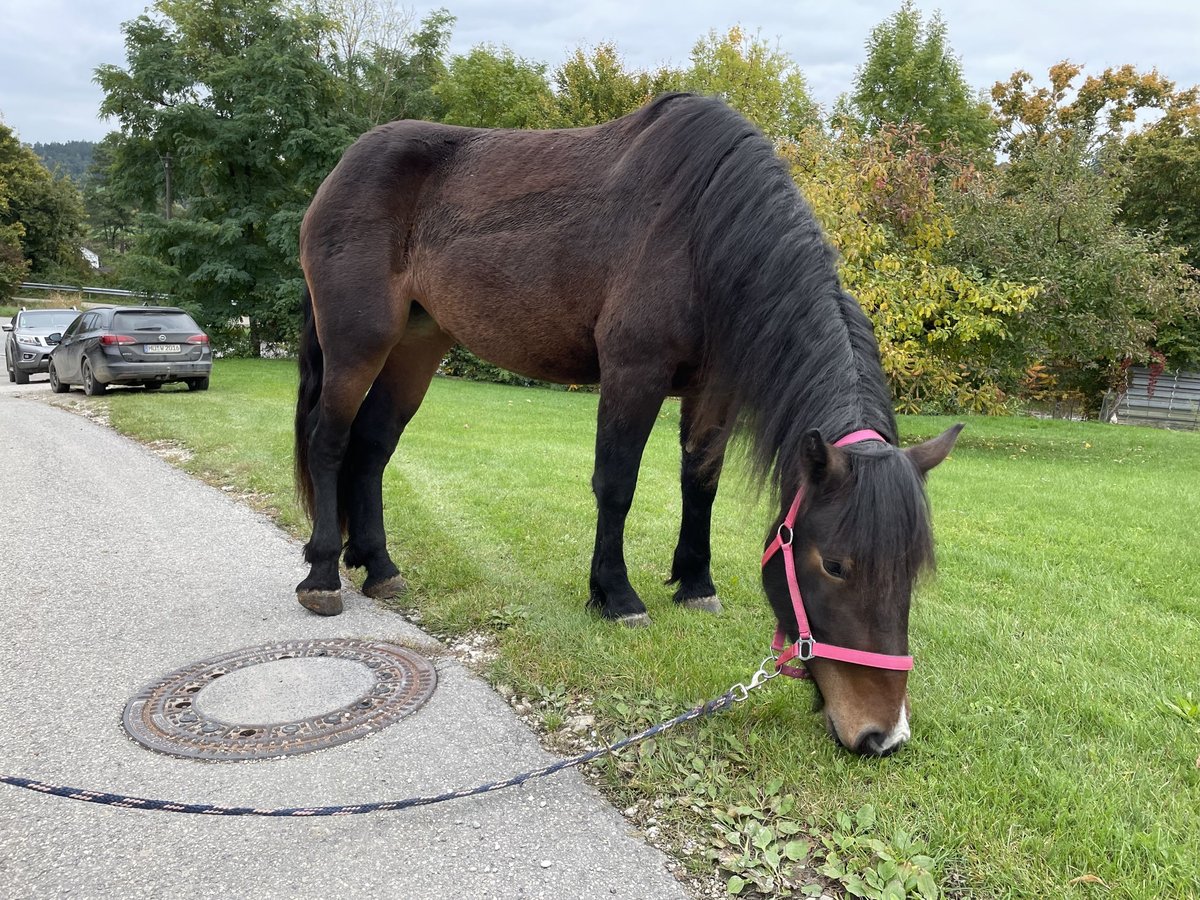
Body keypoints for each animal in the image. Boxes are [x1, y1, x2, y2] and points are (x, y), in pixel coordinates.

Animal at [293, 93, 961, 756]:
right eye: (836, 565)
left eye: (912, 570)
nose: (881, 734)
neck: (703, 231)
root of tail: (341, 172)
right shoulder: (632, 372)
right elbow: (616, 485)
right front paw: (615, 596)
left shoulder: (711, 390)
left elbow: (700, 483)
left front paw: (695, 583)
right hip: (358, 342)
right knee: (330, 442)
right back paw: (323, 572)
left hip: (418, 343)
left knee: (372, 446)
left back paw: (379, 566)